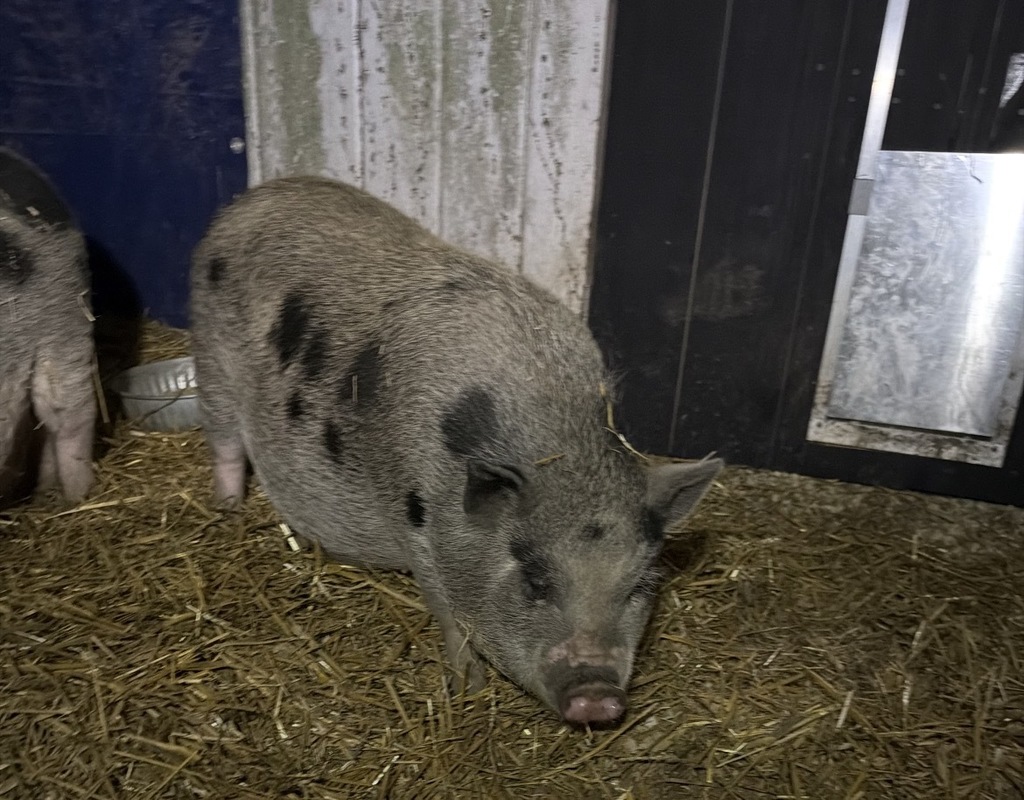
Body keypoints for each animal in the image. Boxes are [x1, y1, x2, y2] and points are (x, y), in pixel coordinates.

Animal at [189, 176, 722, 726]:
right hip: (211, 355)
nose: (596, 695)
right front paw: (468, 687)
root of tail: (261, 194)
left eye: (638, 585)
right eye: (536, 580)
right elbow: (444, 607)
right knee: (225, 443)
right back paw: (227, 509)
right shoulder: (414, 517)